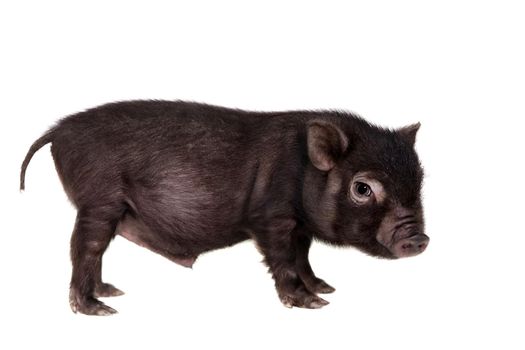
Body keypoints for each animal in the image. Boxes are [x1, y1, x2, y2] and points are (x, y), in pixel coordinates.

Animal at [20, 100, 428, 314]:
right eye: (362, 188)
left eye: (420, 179)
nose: (419, 239)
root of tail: (56, 131)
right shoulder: (271, 219)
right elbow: (284, 260)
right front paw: (312, 304)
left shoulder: (299, 227)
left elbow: (303, 257)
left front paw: (326, 290)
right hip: (98, 201)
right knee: (84, 248)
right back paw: (99, 308)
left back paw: (111, 293)